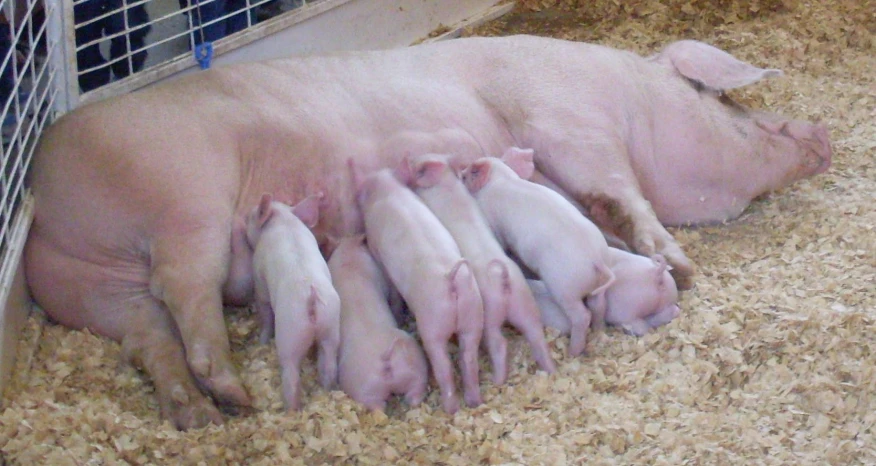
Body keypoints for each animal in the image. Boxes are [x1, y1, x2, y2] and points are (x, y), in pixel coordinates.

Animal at [27, 35, 832, 430]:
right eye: (722, 100)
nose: (818, 135)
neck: (625, 95)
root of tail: (41, 193)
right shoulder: (570, 121)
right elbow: (618, 191)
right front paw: (679, 265)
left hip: (90, 286)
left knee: (147, 334)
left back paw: (194, 414)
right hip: (185, 205)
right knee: (183, 295)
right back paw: (233, 396)